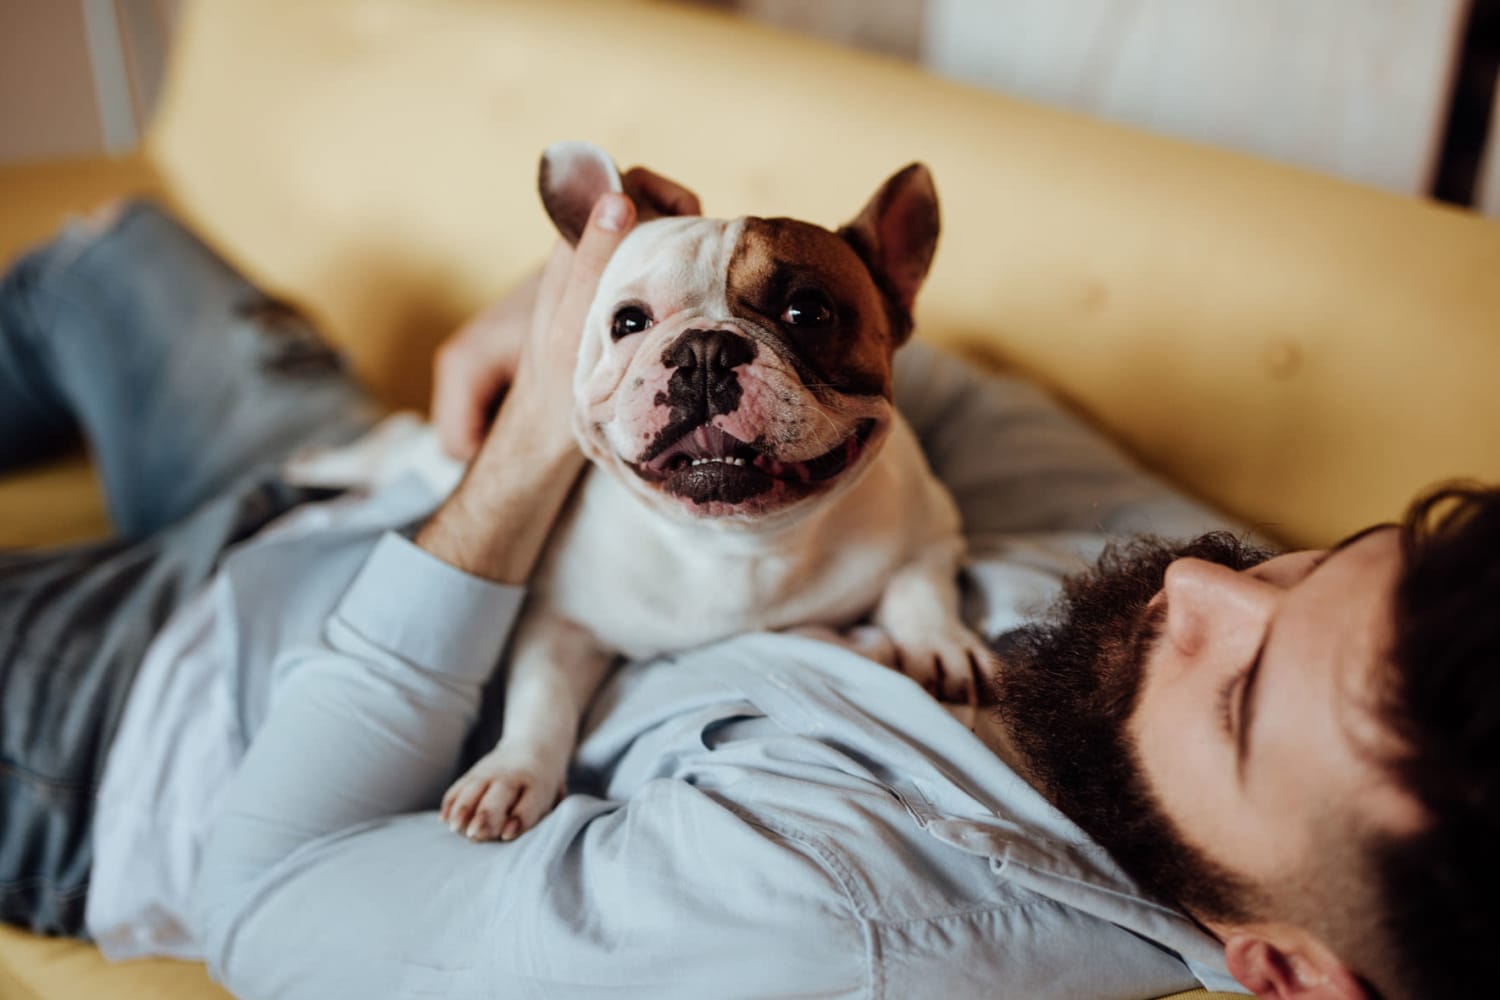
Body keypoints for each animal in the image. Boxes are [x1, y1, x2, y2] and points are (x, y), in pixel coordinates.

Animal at [441, 144, 996, 839]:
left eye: (808, 312)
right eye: (628, 321)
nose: (704, 349)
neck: (738, 543)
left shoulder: (931, 527)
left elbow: (920, 586)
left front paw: (940, 647)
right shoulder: (560, 618)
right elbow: (541, 696)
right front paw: (511, 772)